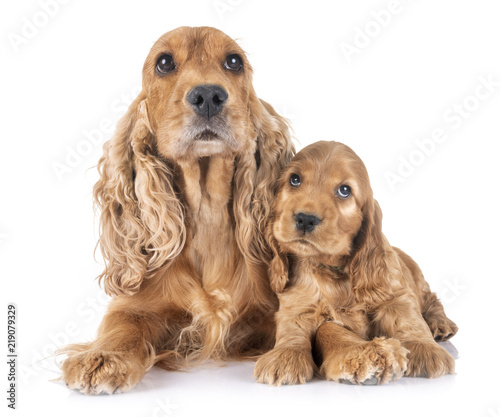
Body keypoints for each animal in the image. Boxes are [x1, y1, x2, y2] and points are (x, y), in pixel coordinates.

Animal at [59, 26, 294, 394]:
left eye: (234, 61)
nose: (209, 95)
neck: (207, 214)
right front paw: (103, 357)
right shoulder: (133, 305)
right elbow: (121, 326)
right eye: (164, 63)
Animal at [256, 141, 458, 386]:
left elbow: (409, 320)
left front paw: (425, 349)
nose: (305, 218)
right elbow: (294, 329)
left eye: (345, 190)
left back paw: (440, 324)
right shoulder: (297, 306)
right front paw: (285, 357)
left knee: (432, 300)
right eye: (294, 179)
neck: (334, 270)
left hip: (419, 281)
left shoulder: (396, 295)